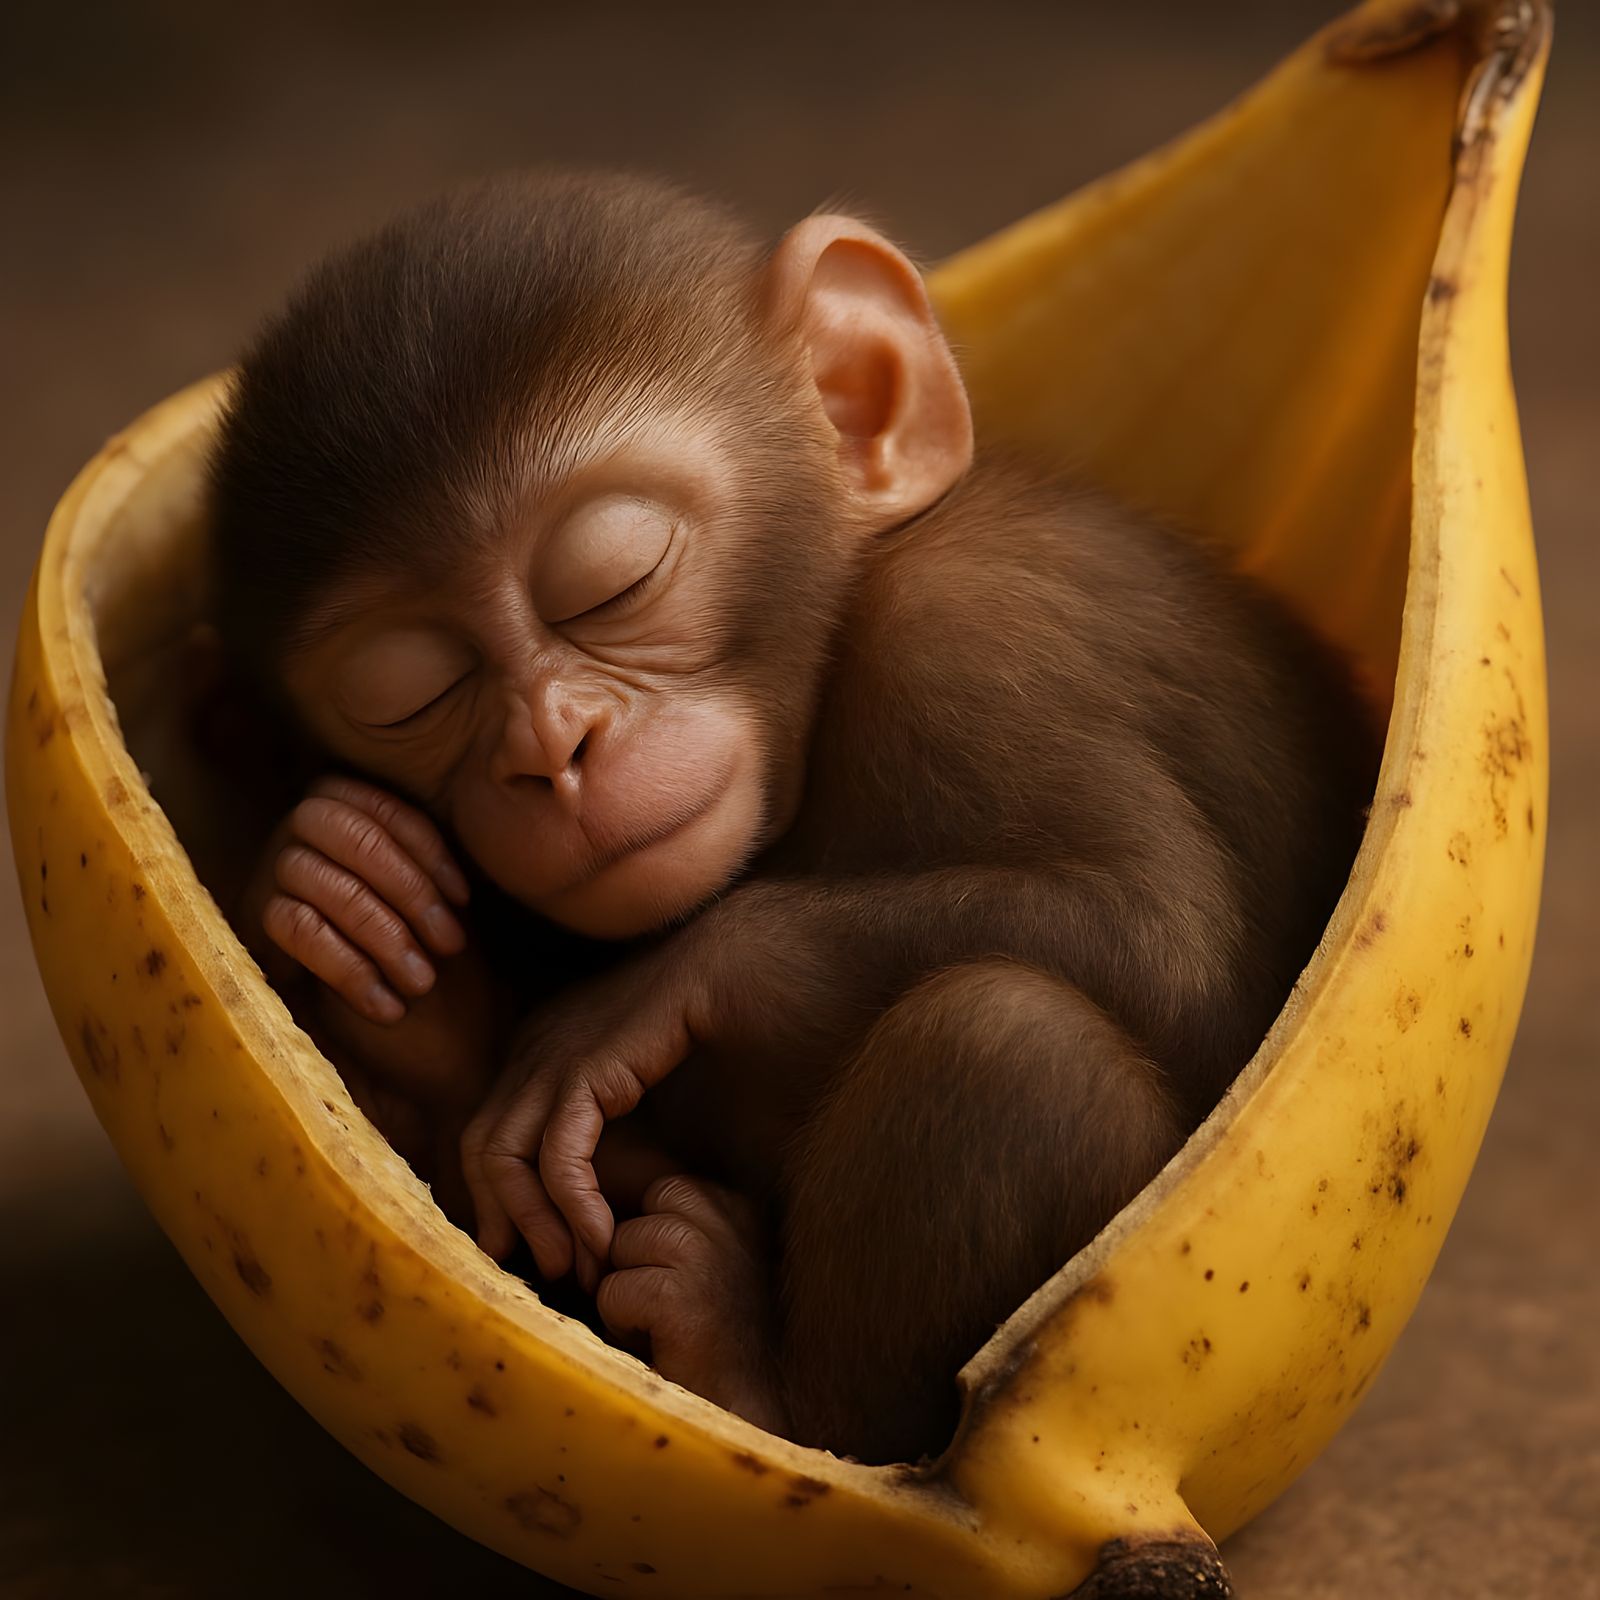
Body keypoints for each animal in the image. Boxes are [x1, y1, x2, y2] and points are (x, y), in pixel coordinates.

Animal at [206, 170, 1380, 1465]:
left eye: (614, 583)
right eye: (412, 695)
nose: (552, 752)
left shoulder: (973, 637)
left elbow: (1164, 938)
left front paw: (656, 988)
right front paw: (358, 909)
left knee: (1006, 1039)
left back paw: (755, 1380)